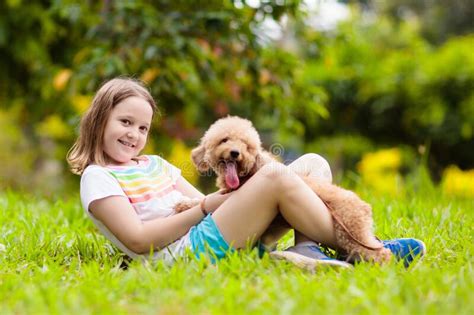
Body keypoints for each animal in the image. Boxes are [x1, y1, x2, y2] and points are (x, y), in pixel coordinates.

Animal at [176, 116, 390, 264]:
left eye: (246, 145)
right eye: (224, 140)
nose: (235, 153)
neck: (248, 174)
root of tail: (364, 205)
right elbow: (202, 199)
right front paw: (183, 205)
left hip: (352, 232)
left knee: (380, 253)